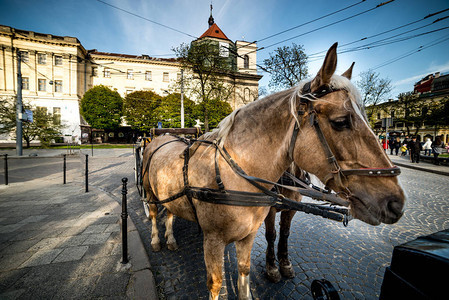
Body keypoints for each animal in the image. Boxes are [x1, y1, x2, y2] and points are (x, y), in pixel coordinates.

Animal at [142, 42, 404, 300]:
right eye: (340, 122)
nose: (396, 203)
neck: (234, 175)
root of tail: (163, 135)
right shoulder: (214, 240)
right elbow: (216, 283)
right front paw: (271, 269)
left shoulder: (249, 234)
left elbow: (247, 269)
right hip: (149, 192)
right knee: (154, 213)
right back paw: (156, 239)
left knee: (170, 212)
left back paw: (171, 238)